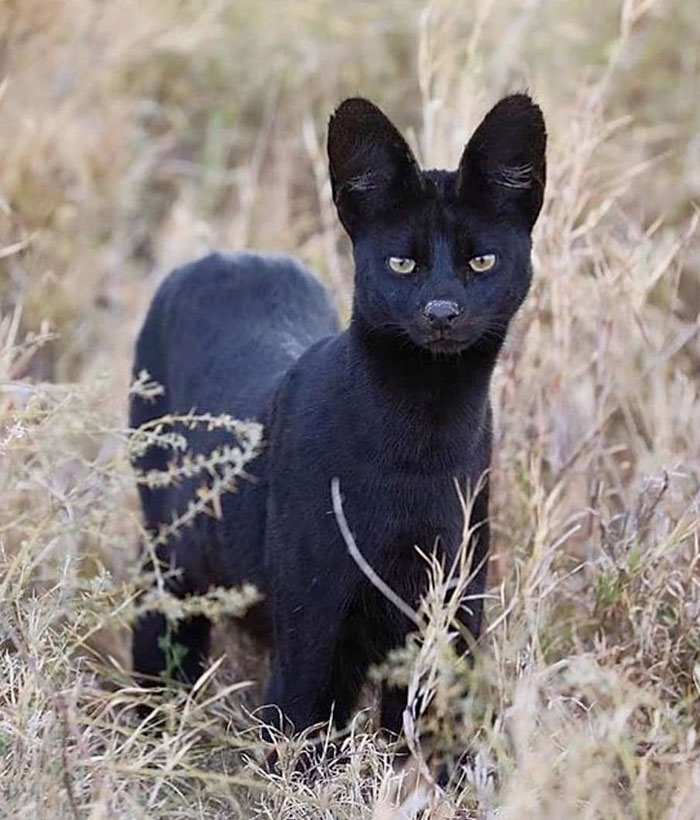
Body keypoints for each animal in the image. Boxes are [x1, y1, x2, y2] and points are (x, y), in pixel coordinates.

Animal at [131, 93, 548, 732]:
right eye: (401, 263)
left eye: (481, 261)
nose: (442, 311)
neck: (425, 430)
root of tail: (228, 254)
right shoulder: (314, 638)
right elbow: (301, 739)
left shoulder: (451, 619)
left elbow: (428, 740)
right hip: (170, 561)